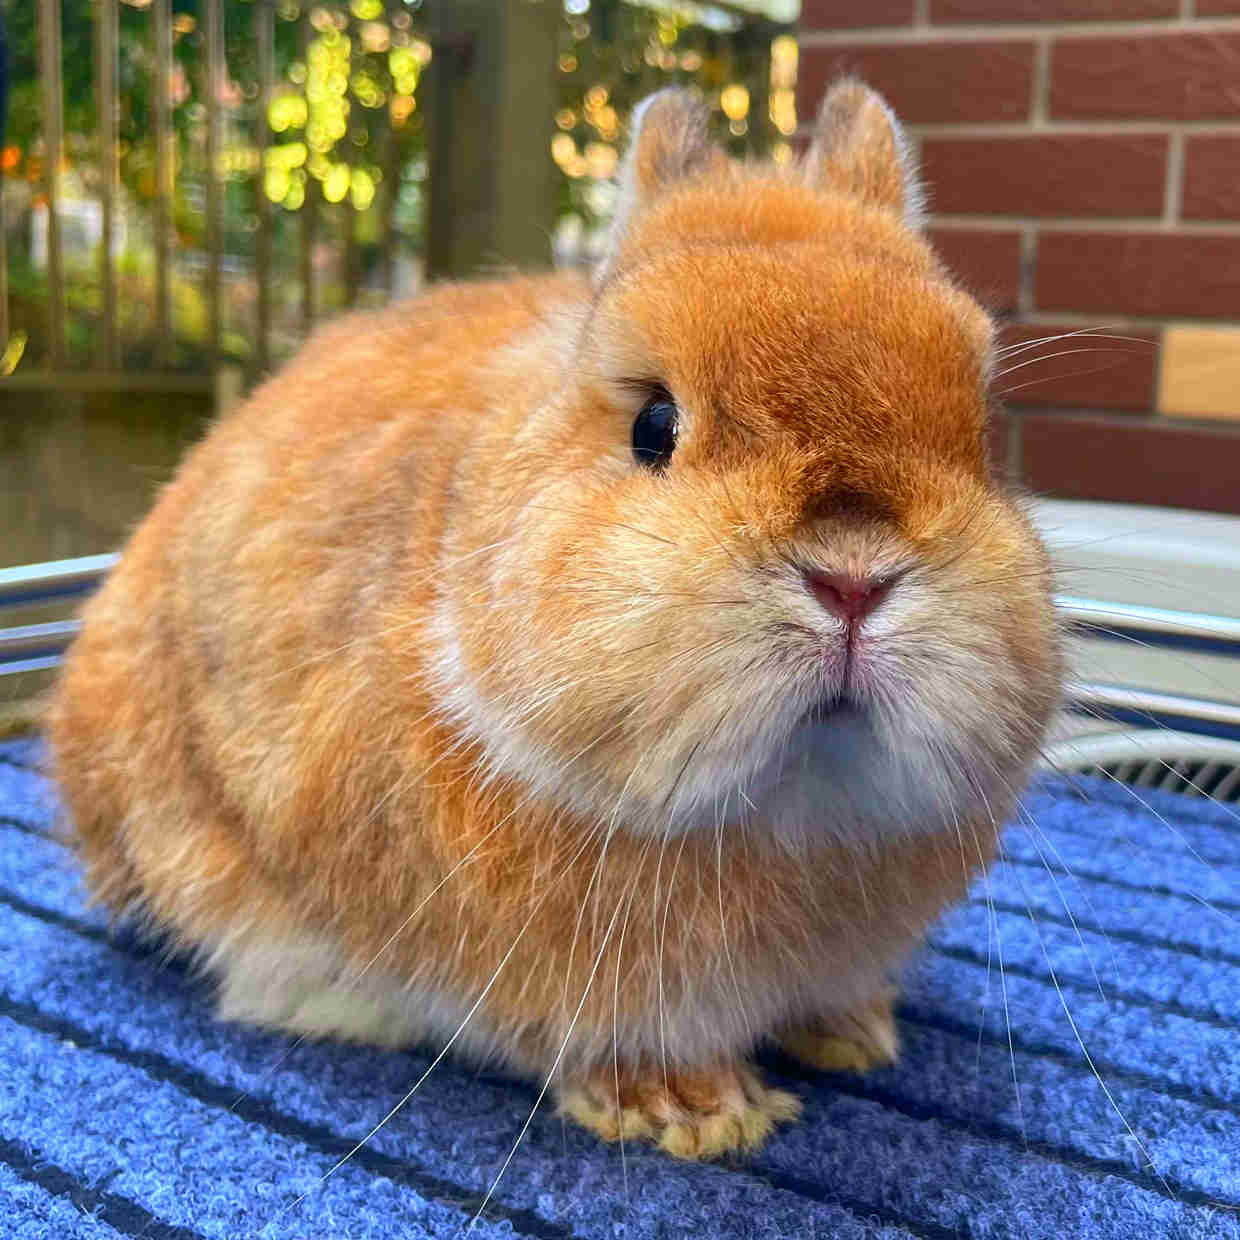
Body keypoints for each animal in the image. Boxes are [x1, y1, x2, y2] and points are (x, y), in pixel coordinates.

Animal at [49, 79, 1062, 1160]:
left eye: (979, 428)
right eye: (653, 425)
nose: (853, 578)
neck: (786, 814)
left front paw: (853, 1032)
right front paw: (693, 1109)